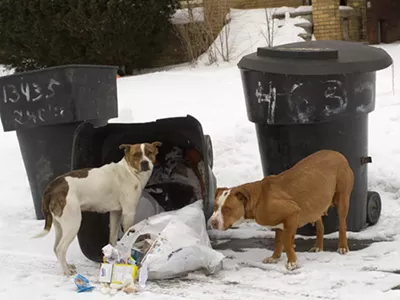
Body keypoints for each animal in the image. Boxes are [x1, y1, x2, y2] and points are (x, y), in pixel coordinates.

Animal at [32, 142, 161, 276]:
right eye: (136, 155)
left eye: (149, 153)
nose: (144, 163)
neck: (130, 171)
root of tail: (52, 187)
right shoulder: (129, 213)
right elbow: (128, 233)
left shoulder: (116, 213)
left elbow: (113, 237)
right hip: (73, 223)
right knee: (60, 249)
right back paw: (67, 271)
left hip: (60, 225)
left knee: (55, 248)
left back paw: (67, 266)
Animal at [208, 149, 354, 270]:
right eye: (215, 207)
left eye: (227, 209)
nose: (212, 222)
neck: (258, 199)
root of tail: (339, 154)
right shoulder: (279, 222)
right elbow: (278, 241)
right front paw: (275, 258)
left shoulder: (292, 213)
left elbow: (286, 242)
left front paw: (292, 262)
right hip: (316, 204)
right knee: (320, 226)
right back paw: (318, 246)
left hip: (342, 200)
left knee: (342, 224)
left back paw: (342, 247)